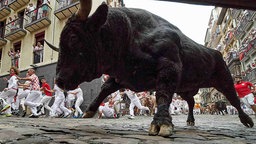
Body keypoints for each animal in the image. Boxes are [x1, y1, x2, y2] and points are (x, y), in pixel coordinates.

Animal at [45, 2, 253, 137]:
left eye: (73, 38)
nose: (59, 80)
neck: (129, 33)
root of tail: (215, 52)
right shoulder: (121, 77)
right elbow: (105, 88)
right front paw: (89, 110)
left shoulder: (169, 68)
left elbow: (162, 94)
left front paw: (161, 123)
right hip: (185, 88)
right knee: (192, 101)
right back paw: (190, 120)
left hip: (223, 77)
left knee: (233, 97)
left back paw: (246, 119)